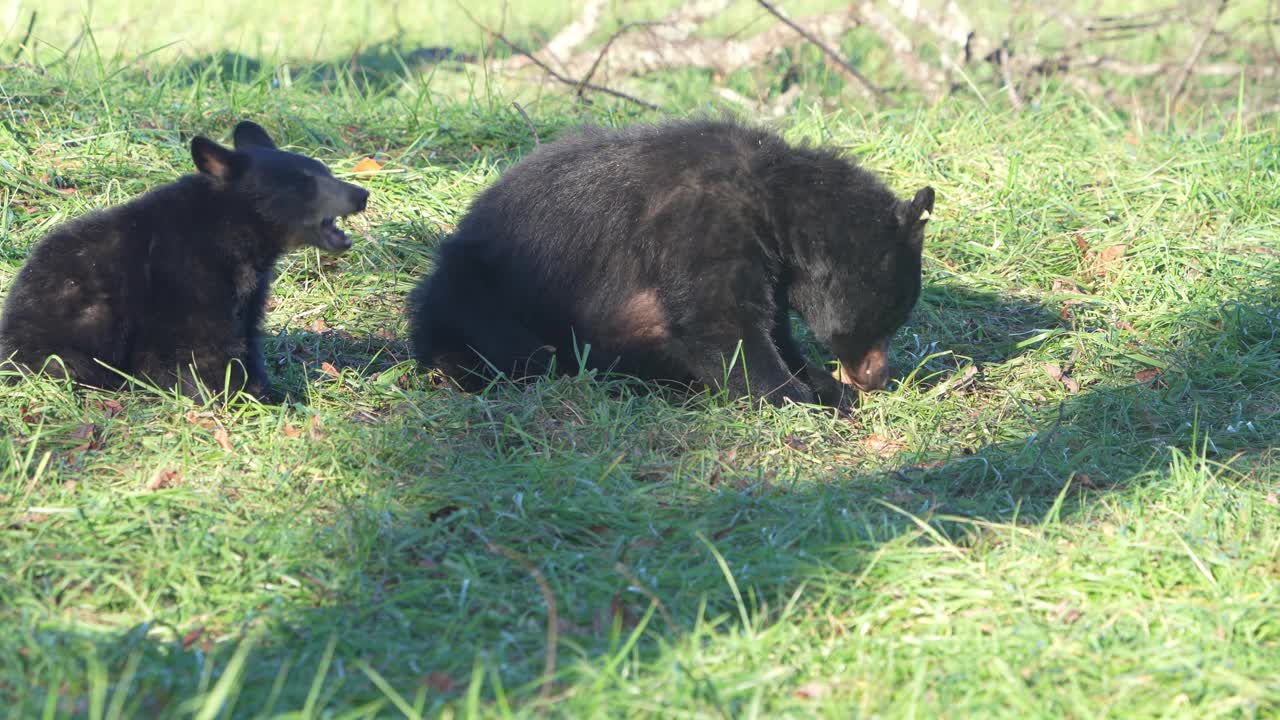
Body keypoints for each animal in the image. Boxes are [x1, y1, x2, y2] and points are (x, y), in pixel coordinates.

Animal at [1, 118, 371, 397]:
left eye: (325, 170)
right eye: (303, 182)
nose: (361, 194)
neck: (233, 233)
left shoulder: (248, 292)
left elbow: (247, 338)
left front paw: (267, 391)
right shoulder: (186, 277)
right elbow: (206, 348)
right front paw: (236, 397)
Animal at [407, 120, 931, 407]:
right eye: (889, 317)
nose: (877, 378)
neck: (772, 203)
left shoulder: (770, 267)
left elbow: (773, 328)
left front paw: (821, 384)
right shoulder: (699, 228)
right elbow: (722, 325)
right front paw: (796, 396)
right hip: (483, 293)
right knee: (507, 346)